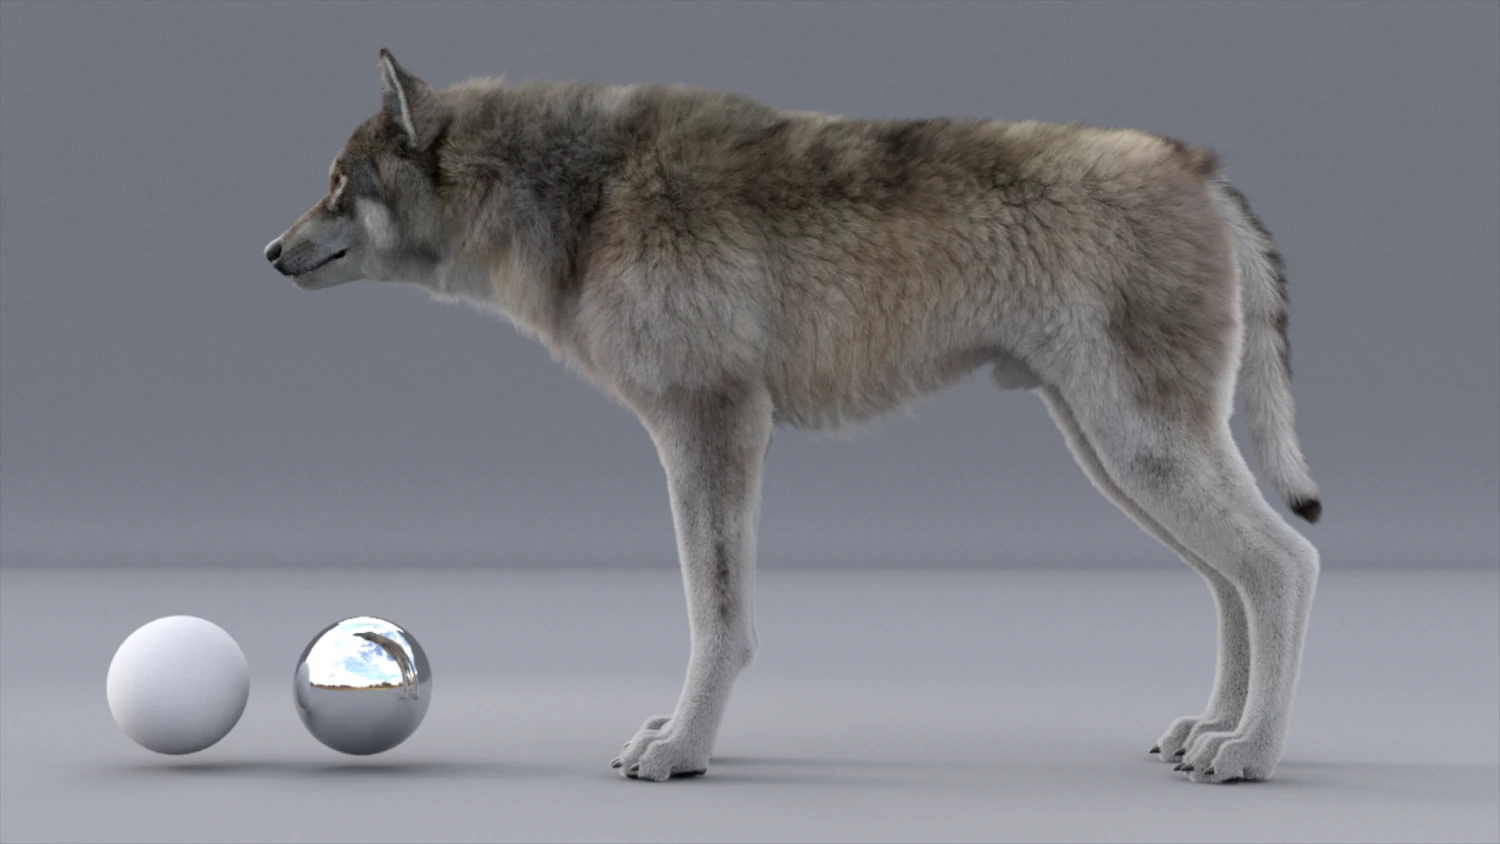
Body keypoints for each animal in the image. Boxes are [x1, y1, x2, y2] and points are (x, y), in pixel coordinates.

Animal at [266, 50, 1322, 784]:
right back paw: (1212, 729)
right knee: (1231, 583)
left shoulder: (711, 425)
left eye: (339, 185)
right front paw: (676, 732)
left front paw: (684, 749)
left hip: (1138, 451)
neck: (587, 195)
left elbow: (717, 616)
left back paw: (1251, 753)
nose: (271, 251)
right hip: (1118, 456)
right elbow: (716, 610)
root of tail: (1198, 167)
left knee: (1284, 565)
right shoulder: (710, 432)